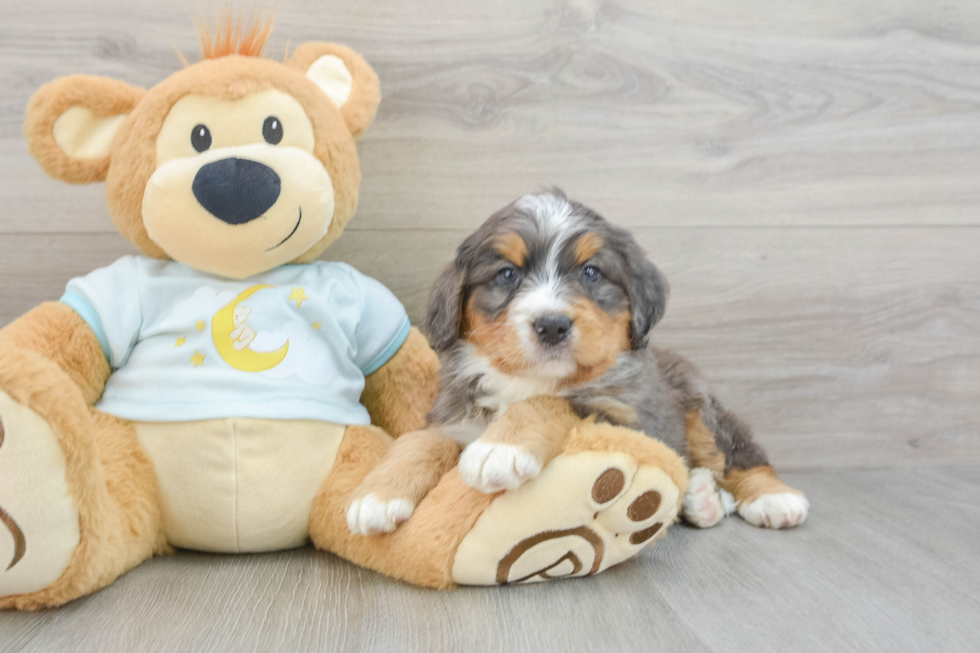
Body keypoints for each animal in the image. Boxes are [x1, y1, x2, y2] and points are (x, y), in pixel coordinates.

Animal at [348, 188, 808, 536]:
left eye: (591, 272)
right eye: (507, 274)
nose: (552, 325)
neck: (528, 379)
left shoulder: (629, 419)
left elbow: (553, 403)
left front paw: (500, 448)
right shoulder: (454, 416)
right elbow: (422, 441)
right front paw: (377, 494)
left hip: (700, 409)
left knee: (738, 454)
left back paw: (772, 498)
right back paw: (702, 497)